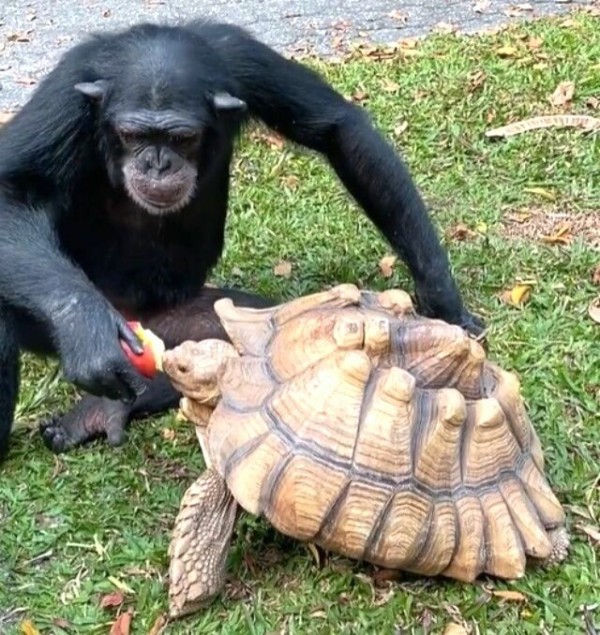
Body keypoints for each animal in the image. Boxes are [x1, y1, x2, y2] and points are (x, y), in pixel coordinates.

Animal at [0, 18, 486, 458]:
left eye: (181, 137)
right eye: (134, 134)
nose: (158, 164)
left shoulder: (242, 57)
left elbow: (337, 129)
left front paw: (443, 300)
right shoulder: (67, 90)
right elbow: (12, 190)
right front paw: (88, 329)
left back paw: (104, 411)